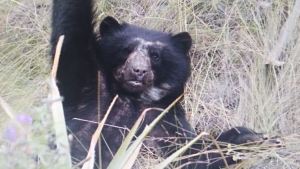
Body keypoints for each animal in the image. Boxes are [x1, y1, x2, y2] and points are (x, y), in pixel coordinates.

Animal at [50, 0, 264, 168]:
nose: (138, 71)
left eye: (155, 56)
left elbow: (192, 154)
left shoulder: (163, 120)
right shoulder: (90, 85)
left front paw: (249, 137)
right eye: (126, 49)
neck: (133, 98)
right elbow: (71, 30)